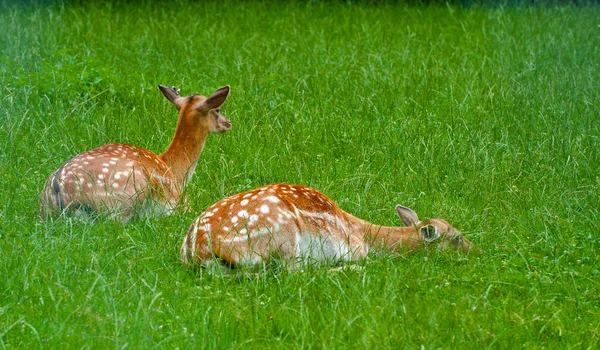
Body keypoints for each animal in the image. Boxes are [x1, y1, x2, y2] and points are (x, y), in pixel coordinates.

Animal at [39, 83, 232, 223]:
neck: (175, 171)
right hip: (127, 191)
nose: (228, 122)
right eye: (218, 110)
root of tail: (60, 196)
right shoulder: (181, 202)